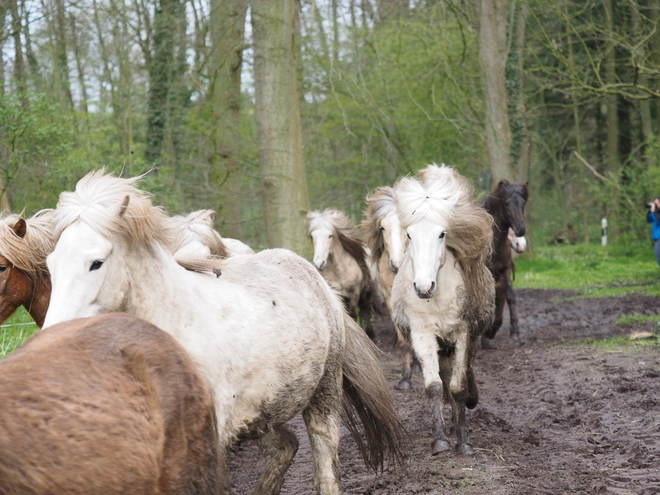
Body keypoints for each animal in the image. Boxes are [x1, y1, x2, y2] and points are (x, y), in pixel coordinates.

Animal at [308, 207, 378, 340]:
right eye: (313, 236)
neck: (340, 273)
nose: (319, 263)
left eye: (330, 236)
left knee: (366, 310)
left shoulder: (354, 294)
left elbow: (354, 315)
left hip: (368, 292)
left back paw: (370, 333)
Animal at [390, 167, 492, 458]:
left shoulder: (462, 333)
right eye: (409, 235)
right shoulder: (422, 334)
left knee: (464, 372)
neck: (435, 301)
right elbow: (434, 387)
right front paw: (440, 441)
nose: (424, 287)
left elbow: (458, 388)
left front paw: (464, 442)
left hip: (467, 341)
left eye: (442, 234)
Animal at [482, 180, 528, 346]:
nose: (521, 229)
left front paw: (514, 331)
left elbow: (510, 296)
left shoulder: (504, 270)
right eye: (507, 203)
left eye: (523, 203)